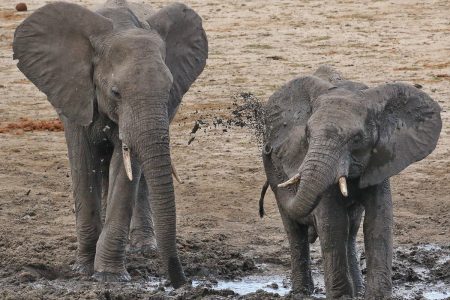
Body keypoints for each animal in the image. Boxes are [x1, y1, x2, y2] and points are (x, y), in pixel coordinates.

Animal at [12, 0, 207, 288]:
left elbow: (127, 170)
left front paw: (108, 276)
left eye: (169, 88)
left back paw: (144, 248)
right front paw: (83, 269)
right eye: (115, 92)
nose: (182, 283)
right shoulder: (75, 92)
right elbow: (83, 164)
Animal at [262, 66, 442, 300]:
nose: (268, 150)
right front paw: (341, 297)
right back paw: (302, 292)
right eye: (307, 134)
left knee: (352, 228)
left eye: (357, 138)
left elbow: (378, 221)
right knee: (295, 231)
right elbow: (333, 223)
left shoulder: (381, 160)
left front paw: (377, 297)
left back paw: (356, 289)